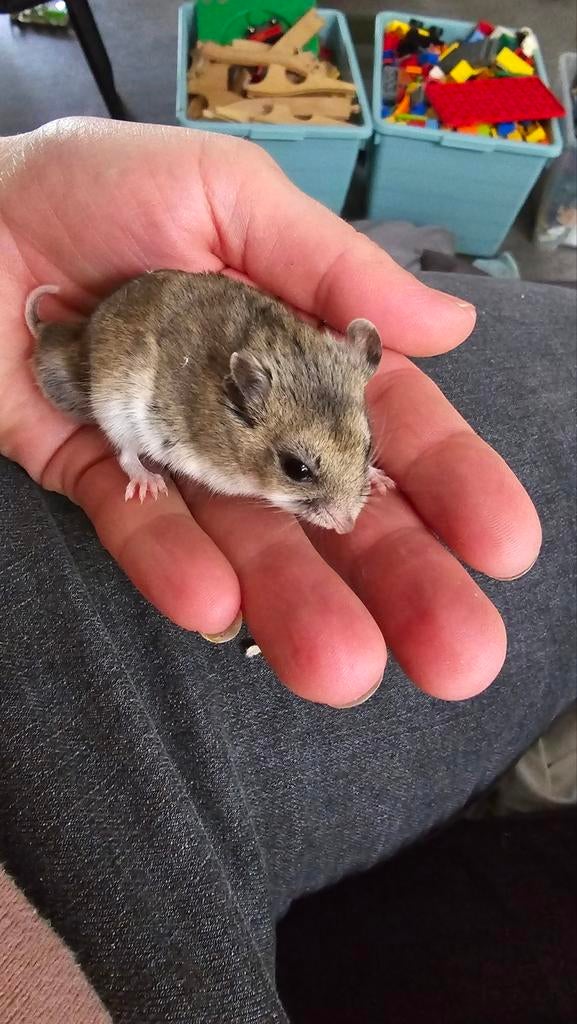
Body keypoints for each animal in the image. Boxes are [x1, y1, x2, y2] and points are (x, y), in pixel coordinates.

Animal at [27, 270, 394, 534]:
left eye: (367, 447)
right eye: (296, 469)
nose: (347, 527)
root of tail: (83, 335)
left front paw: (381, 480)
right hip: (115, 409)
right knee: (126, 455)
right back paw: (150, 484)